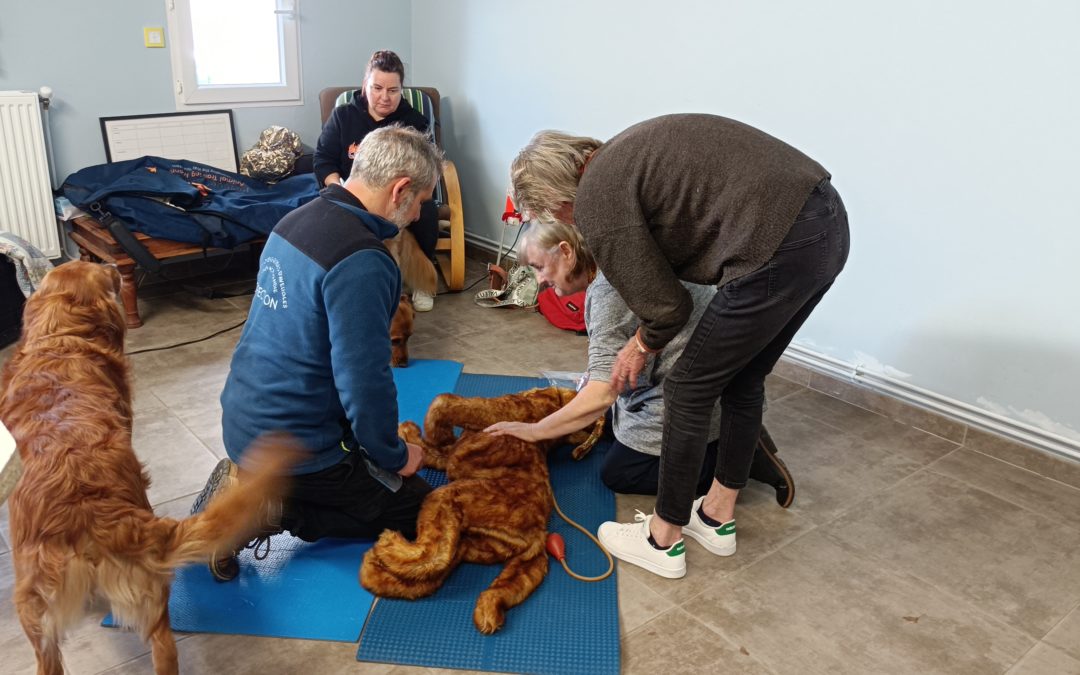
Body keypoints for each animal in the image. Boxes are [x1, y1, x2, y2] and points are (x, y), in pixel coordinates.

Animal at [358, 384, 604, 630]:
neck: (548, 407)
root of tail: (538, 536)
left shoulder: (480, 410)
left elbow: (441, 404)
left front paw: (414, 433)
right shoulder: (451, 454)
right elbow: (432, 450)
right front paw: (411, 438)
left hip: (446, 499)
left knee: (431, 558)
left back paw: (388, 546)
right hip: (471, 542)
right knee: (425, 579)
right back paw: (373, 571)